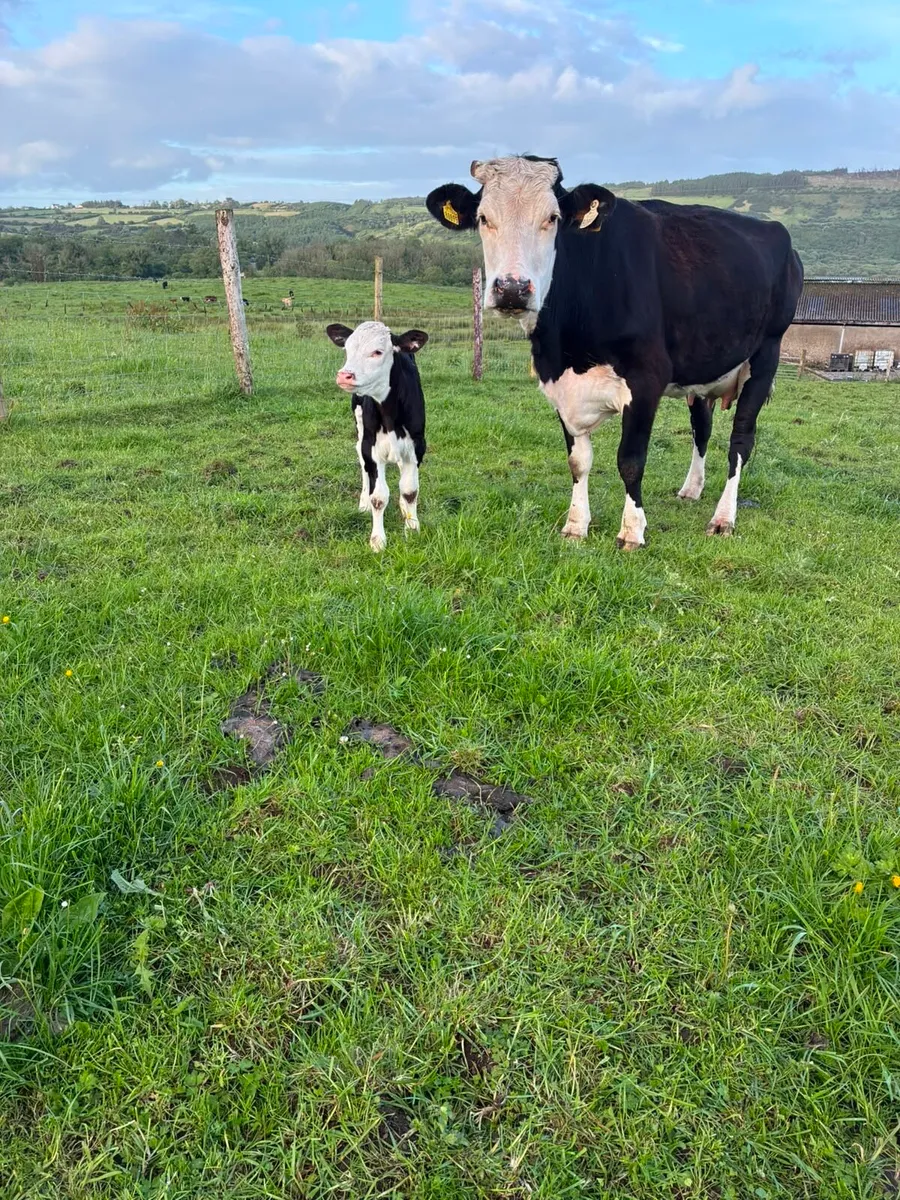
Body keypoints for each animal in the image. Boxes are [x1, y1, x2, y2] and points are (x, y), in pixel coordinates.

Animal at [326, 321, 428, 552]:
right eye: (347, 349)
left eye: (377, 352)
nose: (344, 375)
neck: (390, 416)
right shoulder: (370, 446)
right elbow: (378, 497)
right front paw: (378, 540)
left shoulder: (417, 445)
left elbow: (410, 491)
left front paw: (412, 528)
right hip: (359, 423)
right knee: (361, 461)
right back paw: (363, 501)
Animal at [426, 156, 803, 548]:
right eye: (484, 217)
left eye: (552, 218)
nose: (512, 289)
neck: (567, 349)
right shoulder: (560, 386)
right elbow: (578, 461)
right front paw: (576, 525)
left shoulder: (646, 379)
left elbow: (631, 459)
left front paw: (632, 530)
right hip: (703, 368)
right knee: (702, 428)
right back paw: (691, 489)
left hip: (766, 356)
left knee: (740, 440)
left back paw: (723, 517)